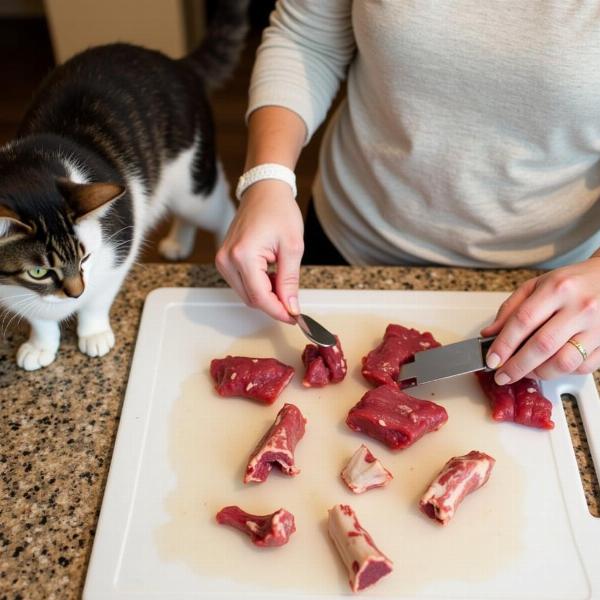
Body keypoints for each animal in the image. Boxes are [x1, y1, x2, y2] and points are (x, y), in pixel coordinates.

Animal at [0, 0, 248, 370]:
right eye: (39, 272)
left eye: (86, 256)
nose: (75, 292)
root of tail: (174, 62)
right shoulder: (12, 290)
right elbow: (38, 317)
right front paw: (40, 344)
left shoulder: (119, 248)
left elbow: (98, 300)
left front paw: (92, 333)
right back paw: (179, 242)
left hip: (192, 185)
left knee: (222, 209)